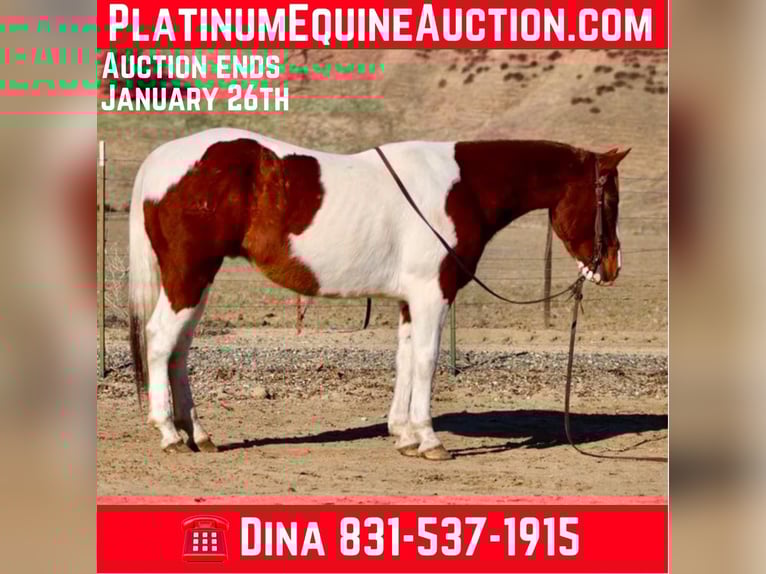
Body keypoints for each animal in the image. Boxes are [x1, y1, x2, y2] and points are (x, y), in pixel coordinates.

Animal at [128, 127, 629, 460]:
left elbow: (405, 359)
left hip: (197, 281)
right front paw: (429, 440)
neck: (462, 187)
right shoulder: (432, 294)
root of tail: (159, 161)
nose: (610, 268)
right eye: (608, 200)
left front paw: (404, 434)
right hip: (188, 276)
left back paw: (198, 434)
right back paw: (169, 434)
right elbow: (426, 360)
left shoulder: (410, 300)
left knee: (179, 350)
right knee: (160, 340)